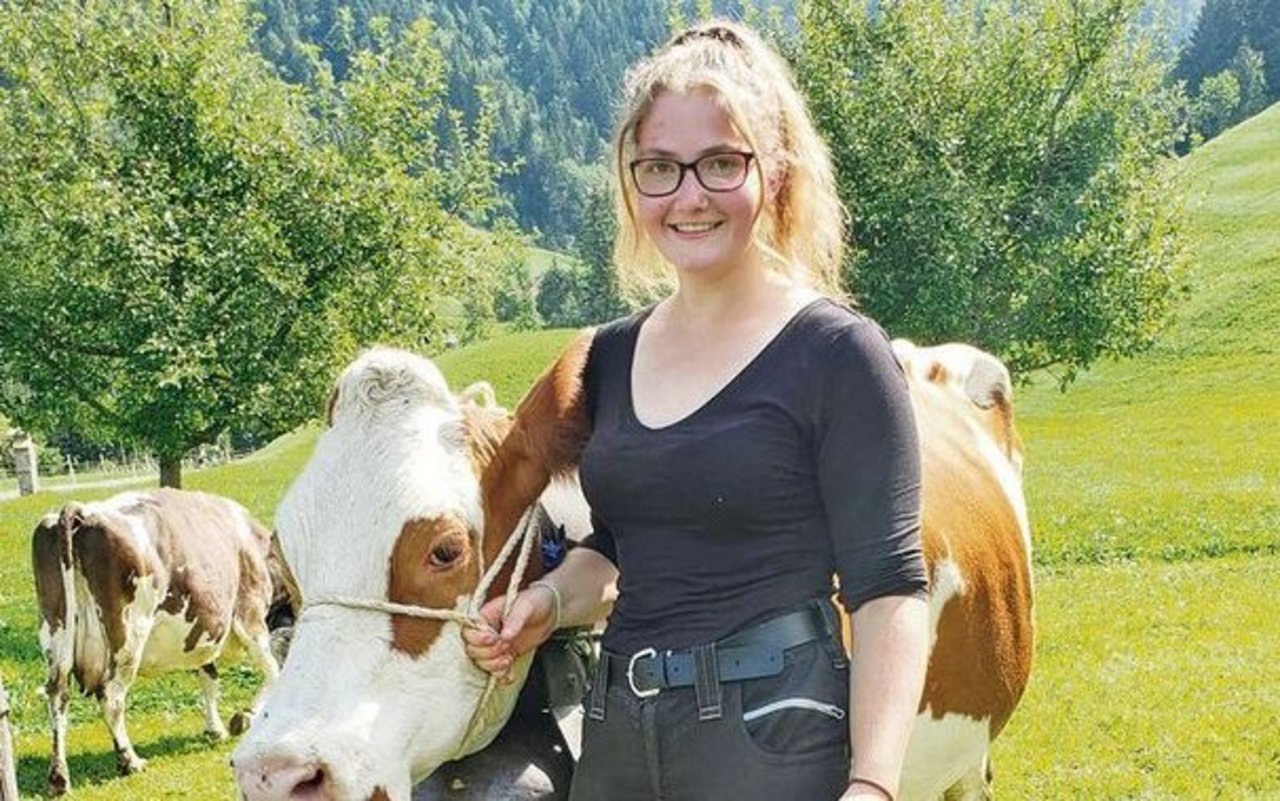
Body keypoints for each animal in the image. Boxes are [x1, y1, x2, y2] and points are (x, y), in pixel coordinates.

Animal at [32, 486, 281, 793]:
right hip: (128, 634)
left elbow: (209, 680)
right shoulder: (250, 615)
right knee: (111, 695)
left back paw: (59, 777)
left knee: (57, 694)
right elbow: (273, 671)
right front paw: (244, 717)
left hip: (55, 630)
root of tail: (81, 510)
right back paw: (130, 761)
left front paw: (216, 729)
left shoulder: (202, 631)